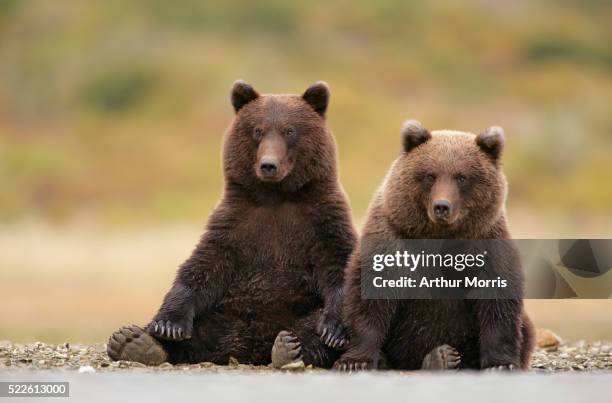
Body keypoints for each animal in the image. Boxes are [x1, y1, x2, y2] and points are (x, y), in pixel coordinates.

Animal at [107, 79, 356, 370]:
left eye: (289, 130)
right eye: (257, 130)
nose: (268, 165)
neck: (276, 196)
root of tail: (247, 347)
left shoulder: (322, 220)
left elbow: (339, 264)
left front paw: (333, 330)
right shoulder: (235, 222)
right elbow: (203, 267)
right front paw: (168, 324)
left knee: (311, 324)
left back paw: (290, 347)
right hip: (223, 313)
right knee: (198, 330)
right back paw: (135, 342)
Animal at [334, 120, 536, 372]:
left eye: (462, 177)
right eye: (430, 175)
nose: (442, 206)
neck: (439, 237)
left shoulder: (486, 243)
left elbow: (497, 300)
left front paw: (500, 364)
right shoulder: (392, 237)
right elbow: (371, 295)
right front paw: (355, 361)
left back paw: (442, 357)